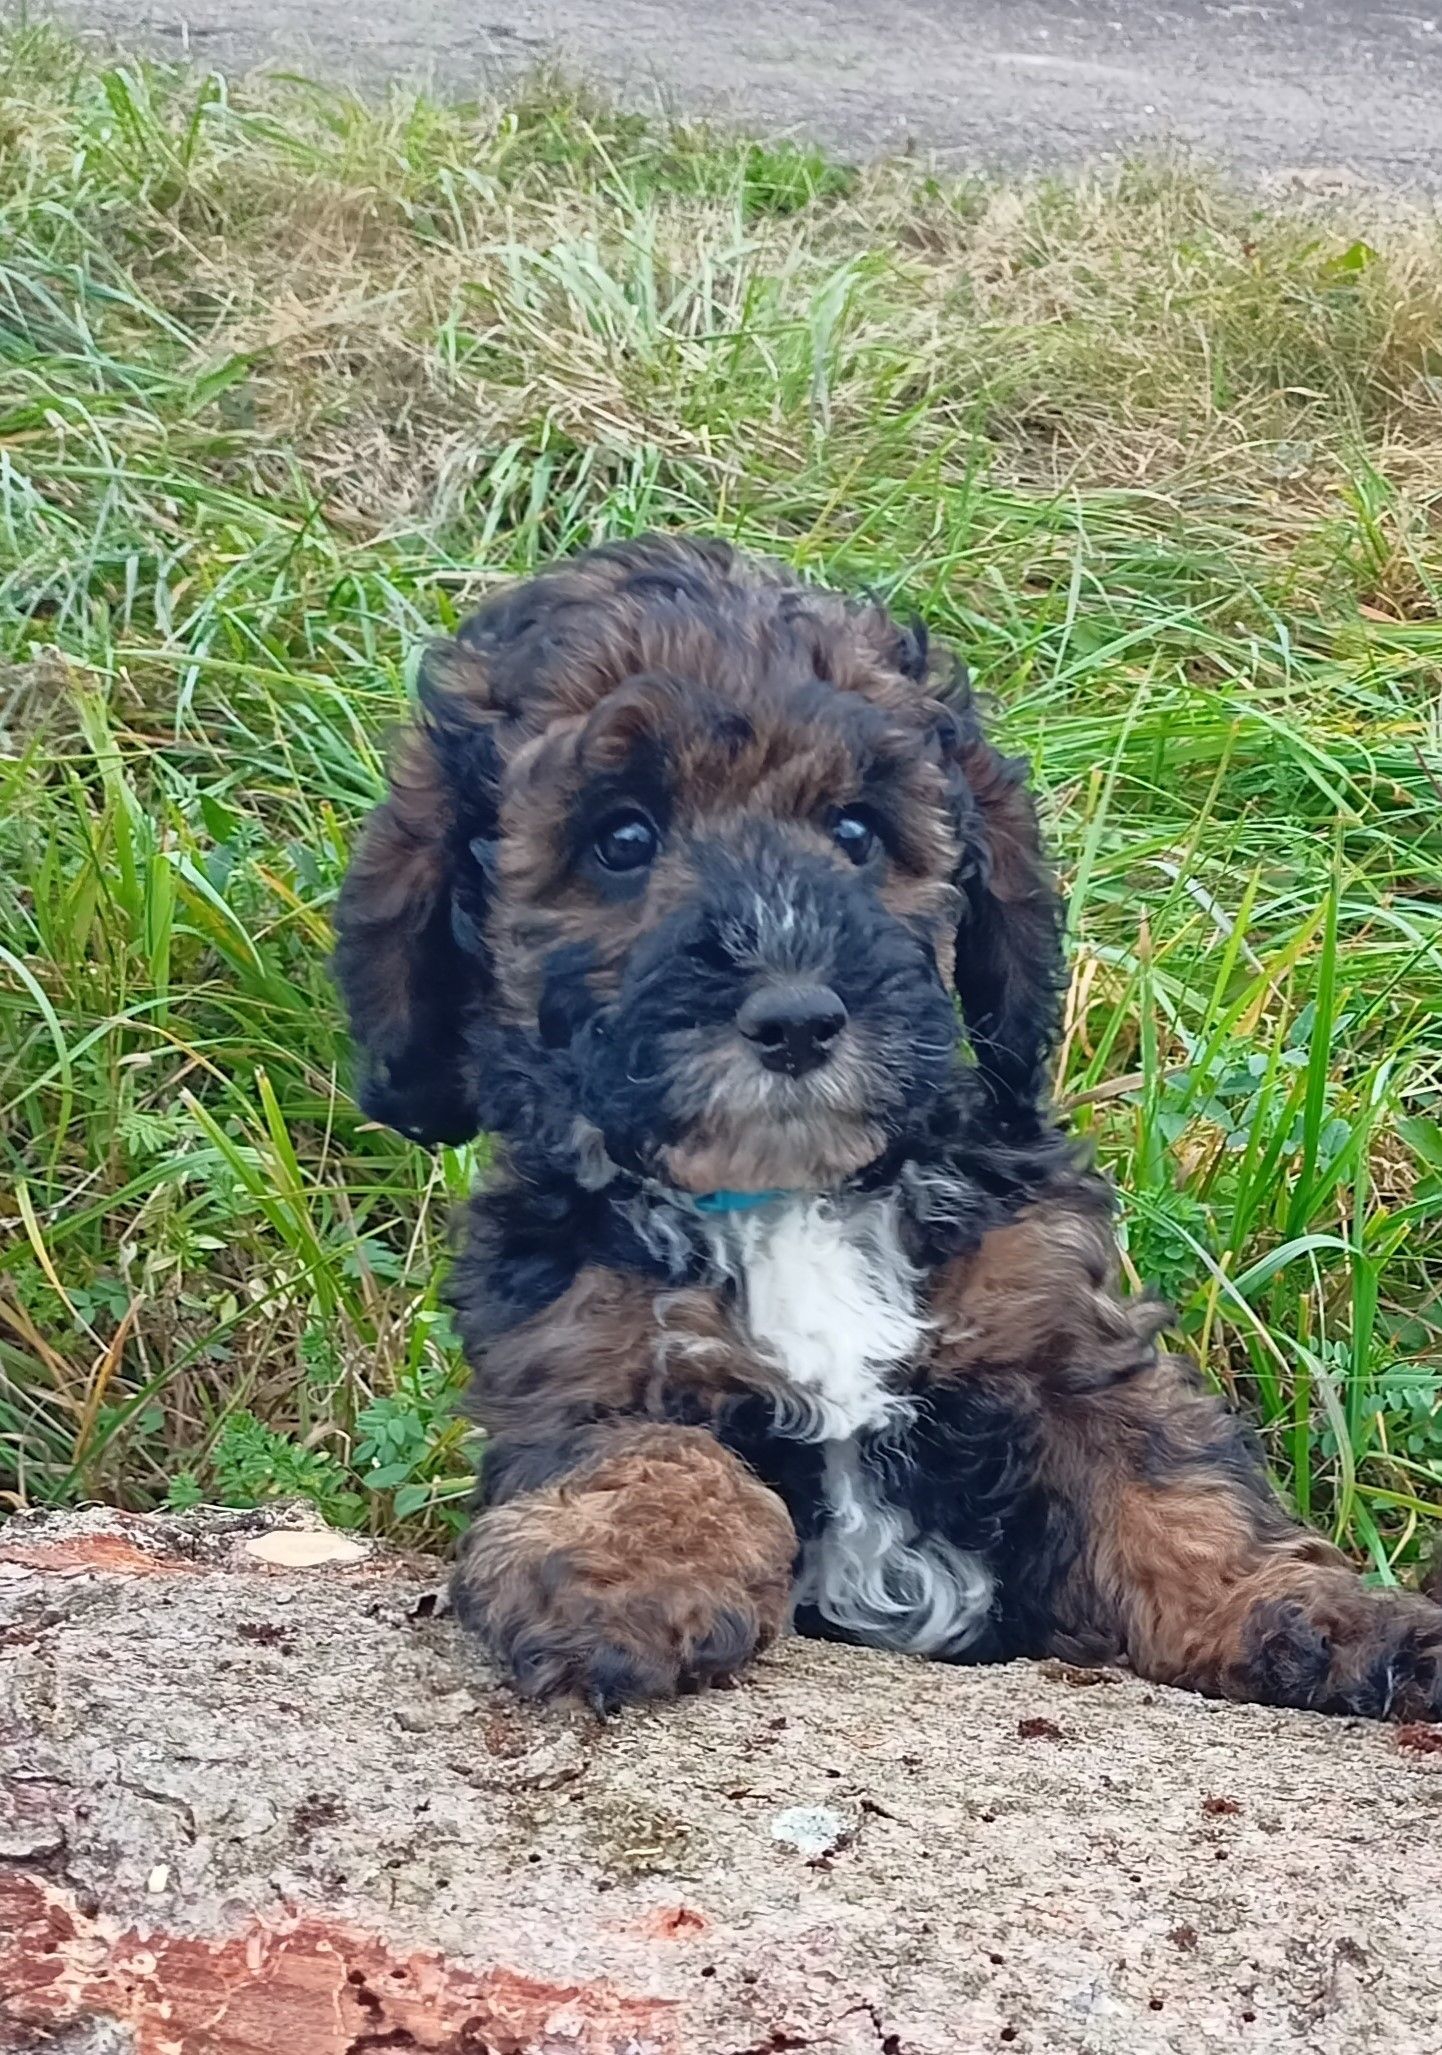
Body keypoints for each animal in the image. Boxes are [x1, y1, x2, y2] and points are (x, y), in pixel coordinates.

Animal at [334, 534, 1442, 1719]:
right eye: (620, 838)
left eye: (857, 831)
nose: (794, 1018)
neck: (788, 1196)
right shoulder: (581, 1355)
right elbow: (645, 1453)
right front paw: (626, 1575)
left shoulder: (1053, 1333)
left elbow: (1178, 1498)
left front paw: (1328, 1615)